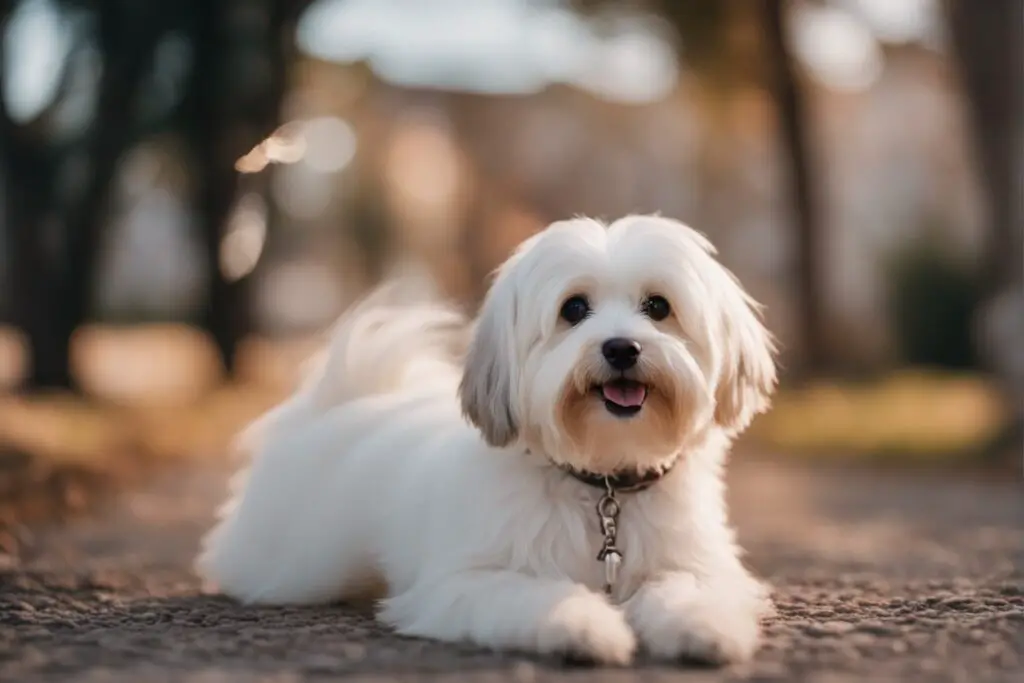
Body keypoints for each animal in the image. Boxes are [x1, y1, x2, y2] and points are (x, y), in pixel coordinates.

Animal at [197, 215, 774, 667]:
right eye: (574, 309)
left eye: (658, 306)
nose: (621, 348)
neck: (601, 482)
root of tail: (348, 397)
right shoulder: (467, 581)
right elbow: (533, 595)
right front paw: (583, 627)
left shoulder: (698, 564)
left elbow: (689, 590)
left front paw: (703, 628)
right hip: (293, 562)